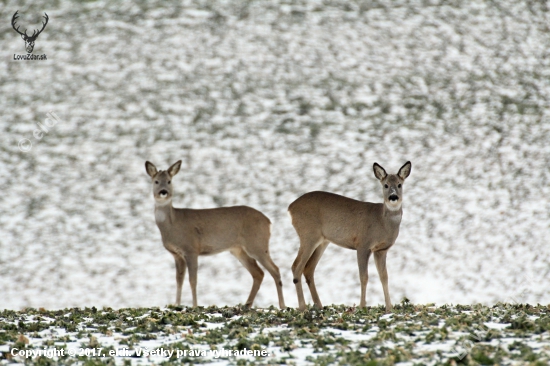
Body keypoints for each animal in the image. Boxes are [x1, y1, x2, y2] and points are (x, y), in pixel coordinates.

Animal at [144, 160, 286, 308]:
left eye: (169, 181)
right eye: (156, 181)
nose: (163, 192)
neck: (173, 224)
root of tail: (269, 222)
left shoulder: (191, 249)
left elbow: (193, 280)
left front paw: (195, 305)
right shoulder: (177, 254)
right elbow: (179, 280)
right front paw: (176, 304)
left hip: (257, 244)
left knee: (275, 269)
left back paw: (282, 306)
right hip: (239, 250)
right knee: (258, 273)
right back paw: (246, 304)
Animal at [288, 162, 414, 310]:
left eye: (400, 184)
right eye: (386, 185)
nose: (393, 197)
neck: (381, 222)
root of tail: (290, 208)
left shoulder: (381, 250)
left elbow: (384, 276)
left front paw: (389, 308)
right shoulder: (363, 245)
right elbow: (364, 277)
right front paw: (362, 306)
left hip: (322, 241)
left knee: (308, 268)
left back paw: (319, 305)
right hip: (308, 235)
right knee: (296, 266)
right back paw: (303, 307)